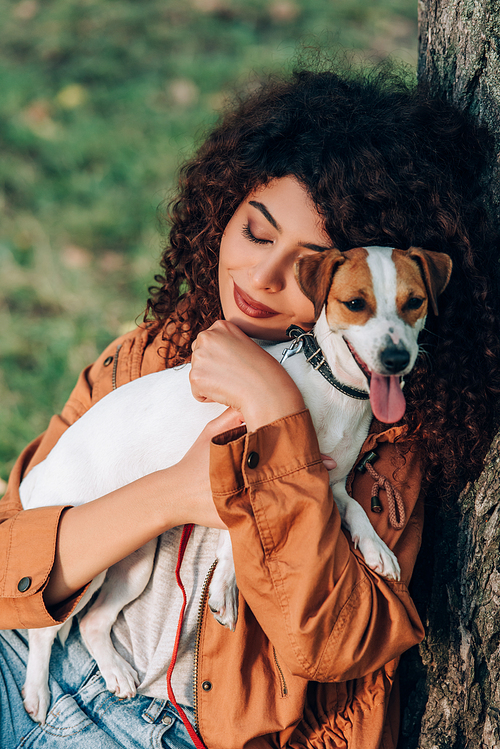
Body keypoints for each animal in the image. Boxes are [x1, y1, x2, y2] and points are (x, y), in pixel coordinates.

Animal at [19, 244, 452, 720]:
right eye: (356, 303)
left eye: (415, 302)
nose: (396, 358)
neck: (334, 391)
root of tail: (43, 470)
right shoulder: (234, 466)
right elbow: (233, 537)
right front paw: (225, 588)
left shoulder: (329, 485)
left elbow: (354, 509)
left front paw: (377, 549)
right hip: (85, 558)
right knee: (45, 629)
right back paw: (37, 691)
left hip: (132, 563)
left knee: (95, 622)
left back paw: (115, 671)